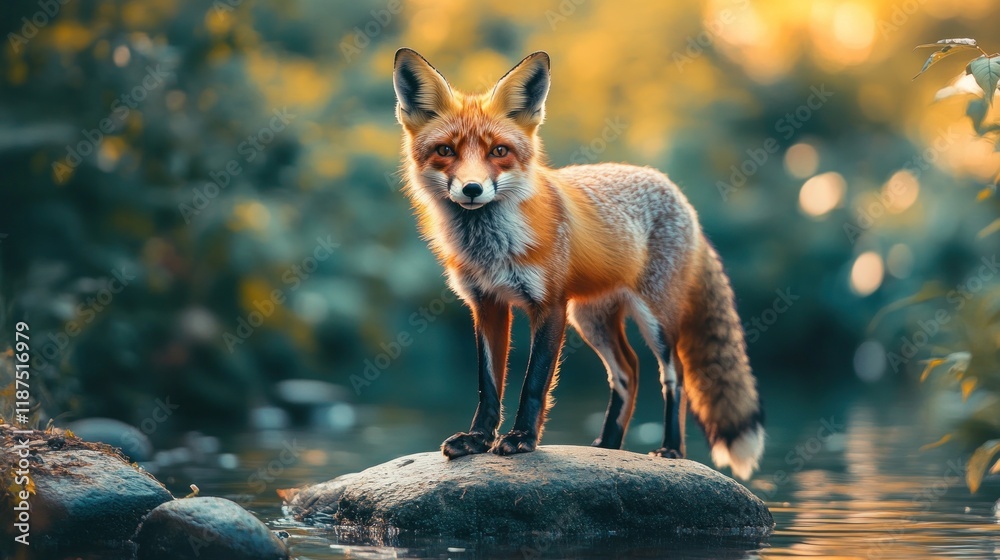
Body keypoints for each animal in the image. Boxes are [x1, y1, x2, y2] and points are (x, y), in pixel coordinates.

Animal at [391, 48, 765, 479]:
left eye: (499, 151)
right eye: (446, 151)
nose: (472, 189)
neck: (490, 248)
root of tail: (679, 195)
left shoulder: (550, 304)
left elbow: (534, 383)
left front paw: (521, 440)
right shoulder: (487, 305)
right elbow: (489, 385)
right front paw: (478, 440)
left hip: (654, 318)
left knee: (674, 376)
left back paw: (671, 448)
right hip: (591, 320)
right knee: (628, 371)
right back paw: (609, 446)